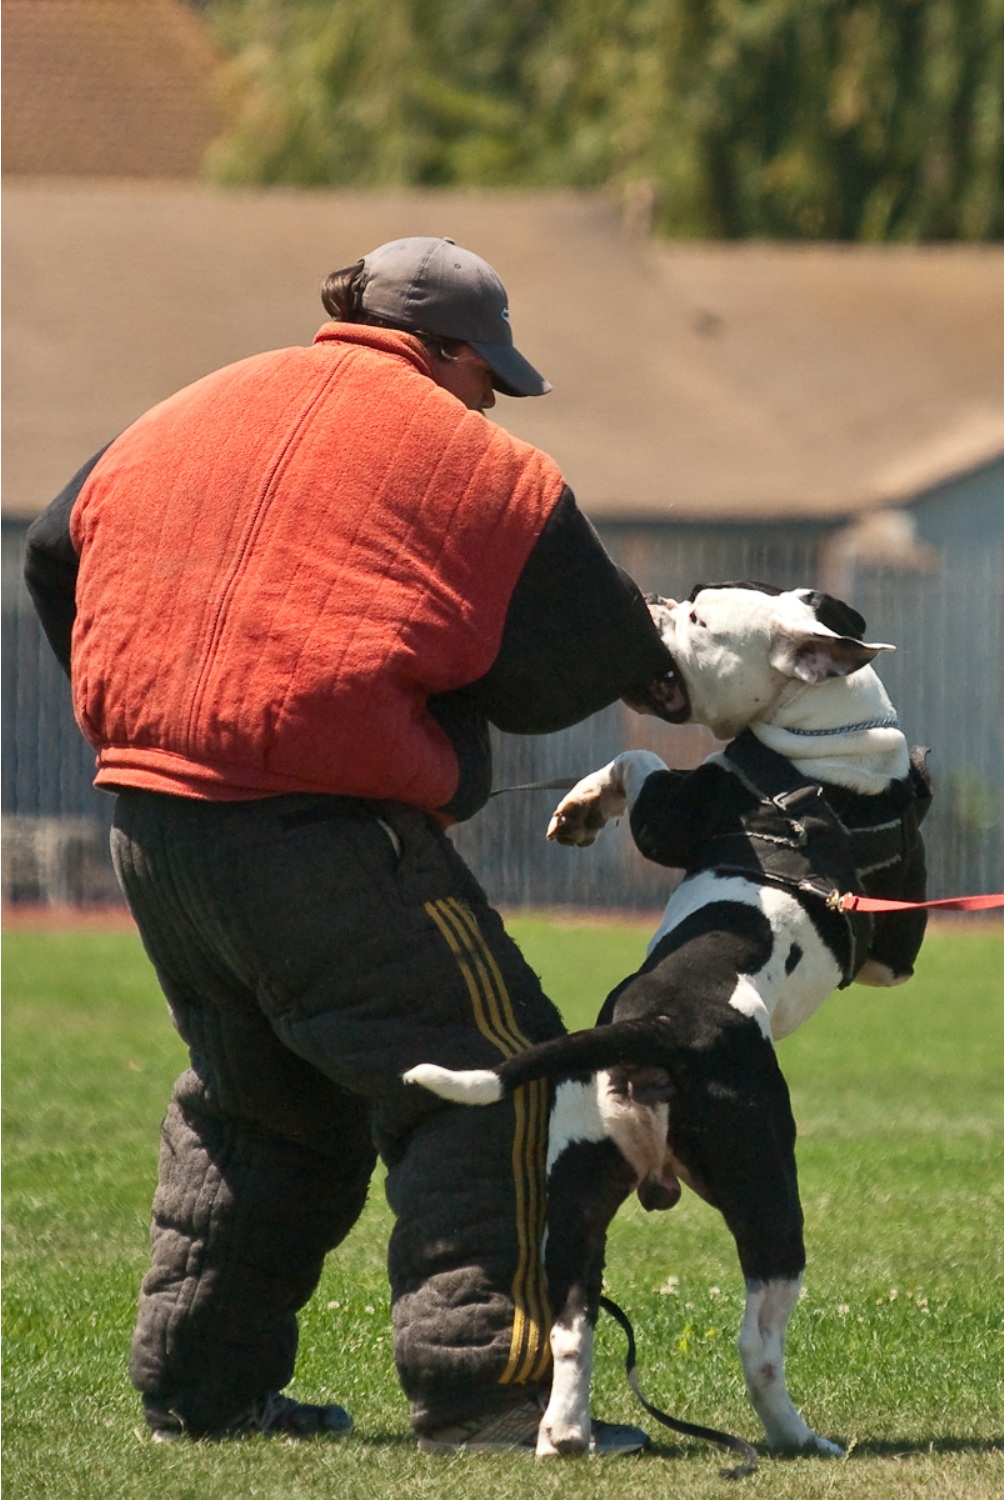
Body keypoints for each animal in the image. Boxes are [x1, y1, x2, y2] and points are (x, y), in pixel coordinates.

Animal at [402, 588, 930, 1464]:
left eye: (703, 620)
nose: (656, 600)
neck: (828, 734)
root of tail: (653, 1028)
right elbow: (642, 760)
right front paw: (584, 803)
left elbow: (641, 763)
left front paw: (579, 807)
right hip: (768, 1191)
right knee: (757, 1342)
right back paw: (797, 1438)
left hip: (576, 1198)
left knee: (573, 1324)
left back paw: (566, 1434)